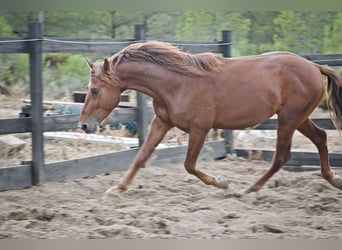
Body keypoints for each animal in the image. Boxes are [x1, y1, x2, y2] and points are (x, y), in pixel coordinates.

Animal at [79, 41, 342, 195]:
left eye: (95, 91)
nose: (83, 125)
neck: (176, 83)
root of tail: (314, 67)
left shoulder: (199, 129)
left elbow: (189, 164)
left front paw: (221, 182)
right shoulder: (162, 123)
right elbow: (141, 156)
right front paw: (118, 188)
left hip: (288, 119)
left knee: (282, 156)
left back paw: (249, 189)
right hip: (297, 118)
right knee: (320, 138)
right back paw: (334, 179)